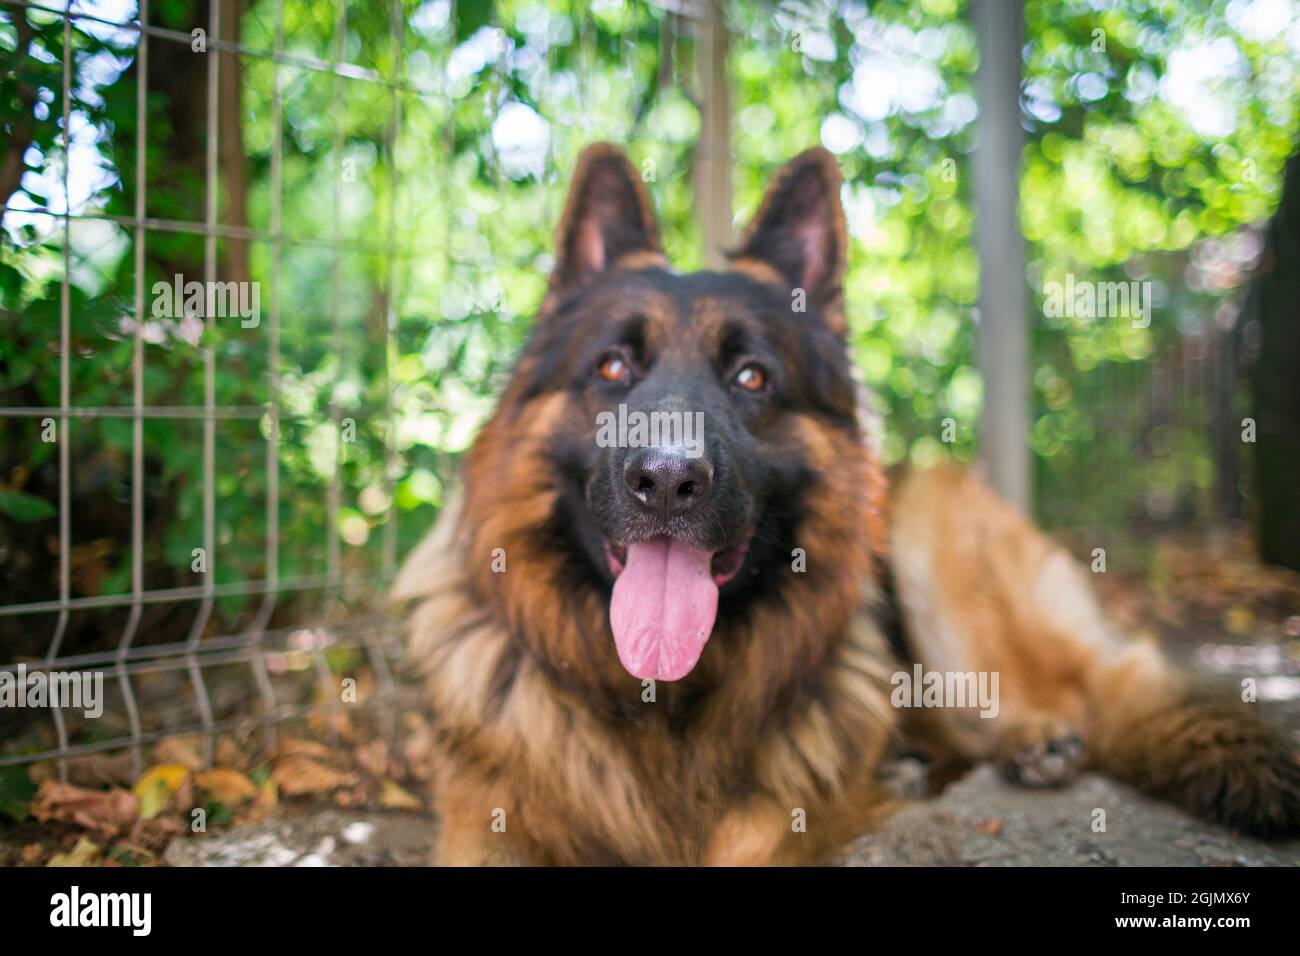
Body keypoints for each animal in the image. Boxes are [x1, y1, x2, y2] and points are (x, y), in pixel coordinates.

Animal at [395, 143, 1300, 868]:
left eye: (752, 377)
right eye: (613, 367)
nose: (668, 481)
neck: (663, 704)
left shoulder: (775, 826)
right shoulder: (487, 825)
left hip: (932, 531)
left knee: (1090, 688)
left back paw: (1035, 738)